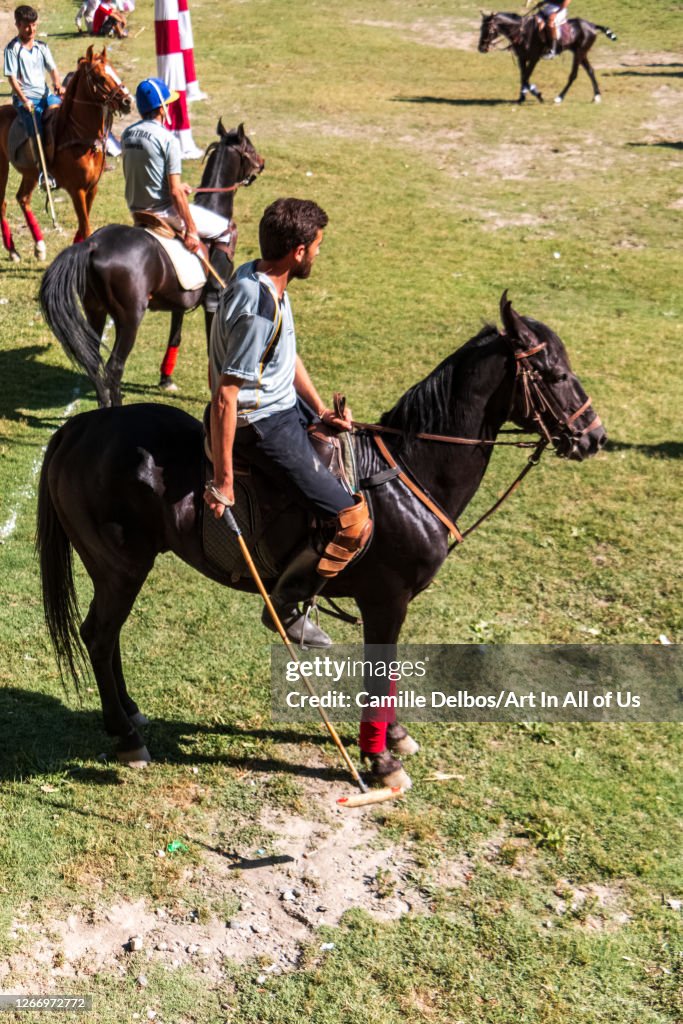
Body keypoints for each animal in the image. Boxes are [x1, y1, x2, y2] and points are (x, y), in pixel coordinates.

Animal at [0, 47, 131, 260]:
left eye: (113, 69)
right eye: (100, 77)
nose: (128, 101)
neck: (80, 137)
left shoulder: (92, 188)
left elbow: (83, 226)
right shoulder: (76, 190)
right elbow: (85, 228)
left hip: (30, 173)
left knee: (23, 198)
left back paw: (39, 246)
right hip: (2, 167)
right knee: (3, 203)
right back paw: (12, 251)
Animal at [37, 294, 606, 774]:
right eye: (555, 373)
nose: (594, 436)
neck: (412, 472)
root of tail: (79, 428)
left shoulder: (391, 604)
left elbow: (387, 675)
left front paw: (393, 738)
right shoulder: (386, 600)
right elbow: (379, 674)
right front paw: (380, 759)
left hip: (117, 568)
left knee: (105, 636)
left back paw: (129, 714)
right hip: (121, 566)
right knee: (99, 634)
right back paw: (127, 738)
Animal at [40, 119, 264, 403]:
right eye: (250, 147)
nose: (262, 162)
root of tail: (92, 244)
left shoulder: (181, 300)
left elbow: (175, 337)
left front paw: (166, 379)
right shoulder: (217, 300)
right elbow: (213, 347)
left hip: (94, 309)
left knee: (93, 361)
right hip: (129, 318)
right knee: (114, 367)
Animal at [479, 10, 618, 103]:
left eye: (488, 29)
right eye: (481, 28)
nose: (481, 48)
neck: (523, 32)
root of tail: (592, 25)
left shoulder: (534, 58)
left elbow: (526, 77)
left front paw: (537, 94)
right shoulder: (522, 58)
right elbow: (523, 77)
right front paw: (522, 97)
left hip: (579, 53)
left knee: (573, 75)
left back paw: (560, 97)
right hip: (581, 54)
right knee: (590, 71)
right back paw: (597, 96)